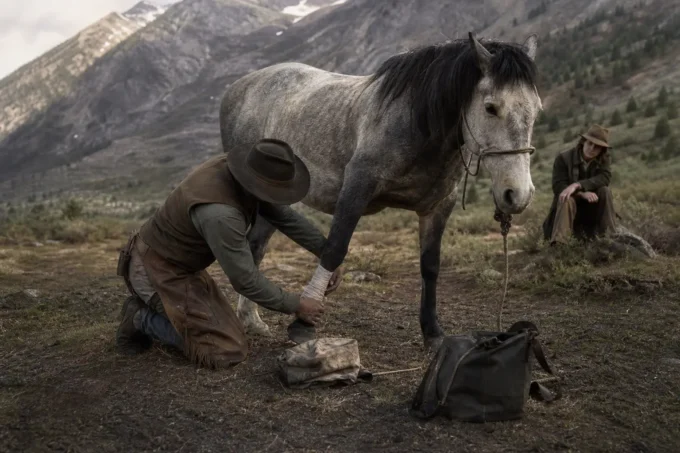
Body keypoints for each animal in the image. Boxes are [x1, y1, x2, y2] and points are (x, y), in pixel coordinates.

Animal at [218, 32, 542, 351]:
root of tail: (238, 87)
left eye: (537, 109)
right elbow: (335, 250)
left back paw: (251, 320)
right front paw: (303, 323)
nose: (518, 195)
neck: (417, 124)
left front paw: (433, 333)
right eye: (490, 107)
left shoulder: (438, 207)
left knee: (256, 246)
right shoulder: (356, 189)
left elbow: (430, 266)